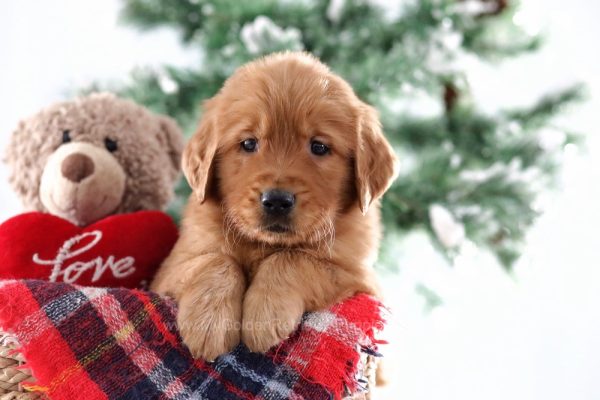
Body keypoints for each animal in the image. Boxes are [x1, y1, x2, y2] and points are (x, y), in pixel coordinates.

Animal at [151, 51, 398, 360]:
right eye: (248, 143)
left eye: (319, 147)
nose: (277, 201)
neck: (264, 244)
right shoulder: (170, 269)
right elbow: (216, 259)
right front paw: (208, 323)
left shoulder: (358, 278)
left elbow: (293, 259)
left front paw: (265, 315)